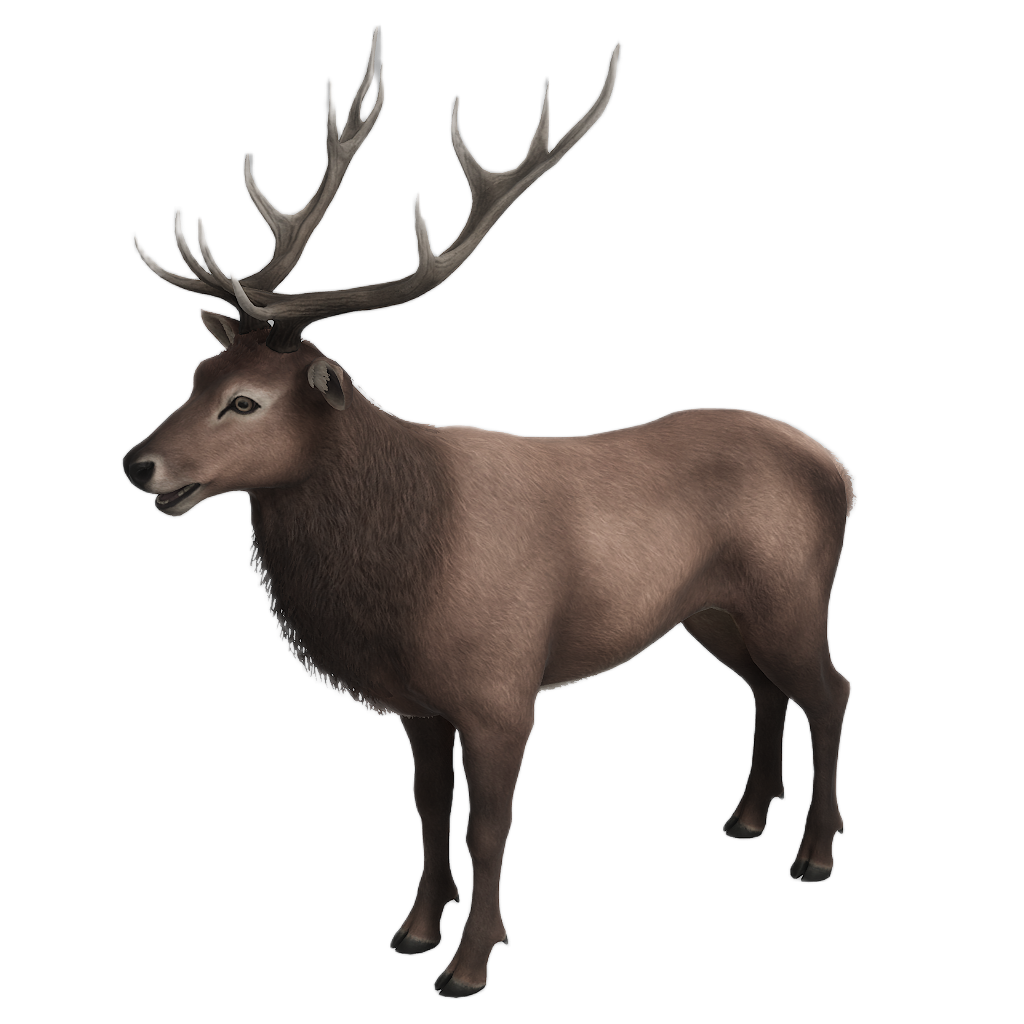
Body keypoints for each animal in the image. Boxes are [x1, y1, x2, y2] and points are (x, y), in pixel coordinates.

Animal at [122, 24, 856, 998]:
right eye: (197, 375)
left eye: (245, 401)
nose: (138, 462)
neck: (403, 570)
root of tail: (841, 469)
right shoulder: (417, 701)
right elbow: (428, 807)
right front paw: (413, 929)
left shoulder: (501, 686)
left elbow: (489, 821)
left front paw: (472, 961)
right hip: (710, 610)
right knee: (766, 687)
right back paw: (743, 818)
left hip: (791, 592)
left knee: (830, 689)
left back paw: (814, 854)